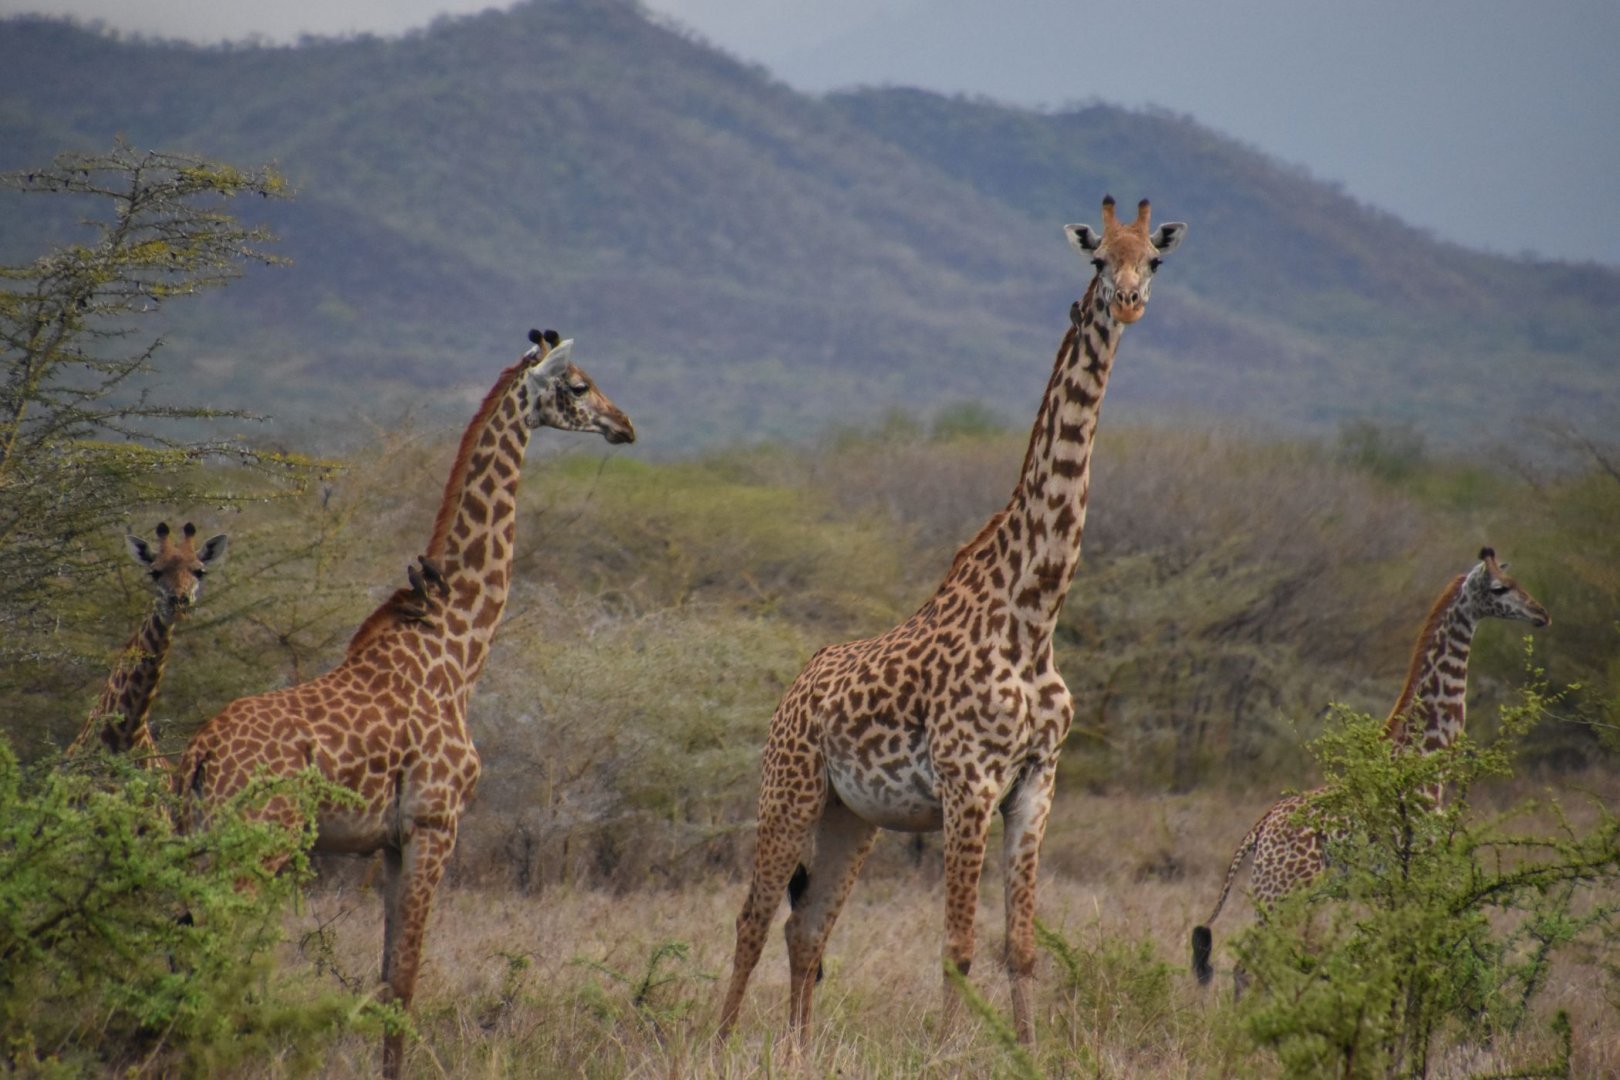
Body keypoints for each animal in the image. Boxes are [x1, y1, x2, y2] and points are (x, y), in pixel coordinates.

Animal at [177, 329, 634, 1078]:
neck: (456, 645)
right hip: (259, 845)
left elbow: (388, 975)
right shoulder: (434, 823)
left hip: (196, 843)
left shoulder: (390, 841)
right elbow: (406, 981)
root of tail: (199, 756)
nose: (625, 425)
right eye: (577, 385)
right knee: (211, 954)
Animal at [717, 197, 1187, 1052]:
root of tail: (794, 686)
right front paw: (942, 1051)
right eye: (1099, 259)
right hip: (789, 791)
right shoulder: (969, 783)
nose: (1131, 302)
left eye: (1155, 260)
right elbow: (958, 945)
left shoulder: (1036, 783)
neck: (1034, 612)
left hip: (850, 817)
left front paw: (1029, 1050)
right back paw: (720, 1042)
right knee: (754, 918)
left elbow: (1020, 945)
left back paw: (799, 1050)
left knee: (808, 929)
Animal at [1190, 547, 1550, 987]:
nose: (1541, 613)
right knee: (1249, 966)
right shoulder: (1419, 862)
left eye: (1517, 582)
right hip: (1287, 887)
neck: (1427, 759)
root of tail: (1261, 827)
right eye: (1500, 588)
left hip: (1273, 887)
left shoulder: (1403, 877)